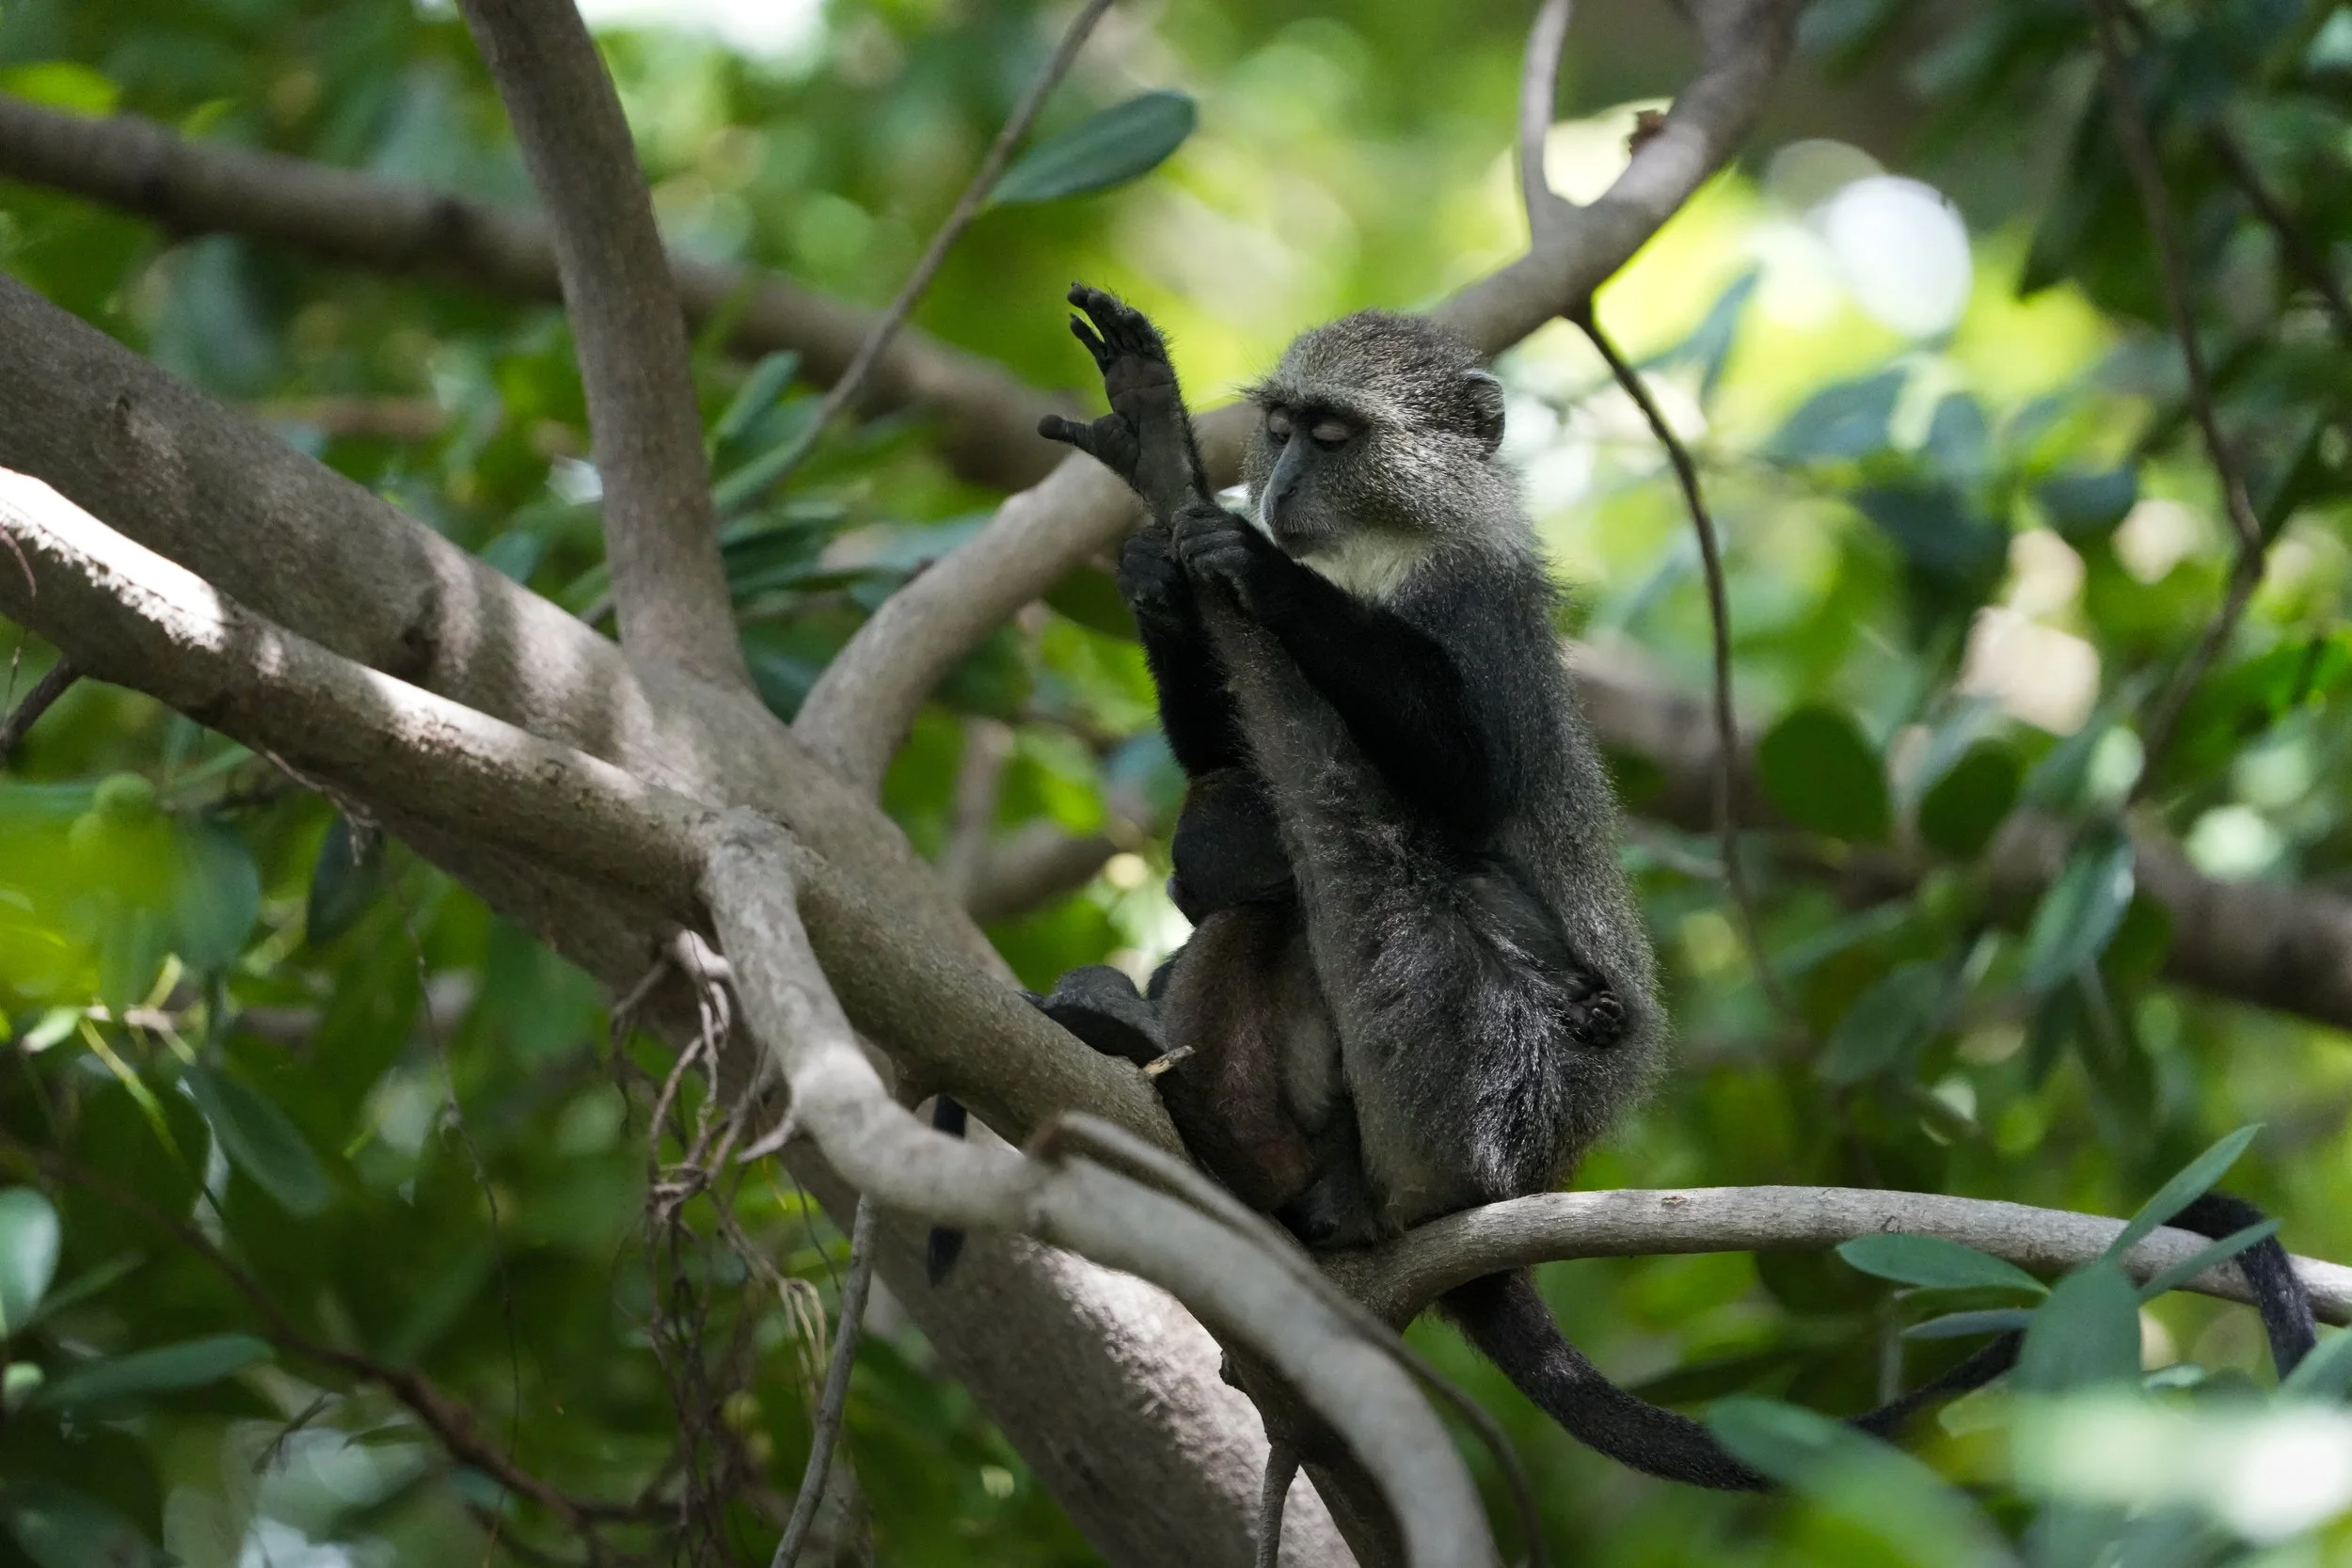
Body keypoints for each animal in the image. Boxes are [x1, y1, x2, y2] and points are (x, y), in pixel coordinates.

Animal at [1020, 282, 2319, 1489]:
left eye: (1331, 434)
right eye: (1281, 424)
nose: (1278, 484)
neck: (1380, 547)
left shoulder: (1473, 605)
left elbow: (1464, 776)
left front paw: (1233, 546)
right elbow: (1219, 756)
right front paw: (1151, 544)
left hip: (1476, 1061)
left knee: (1277, 882)